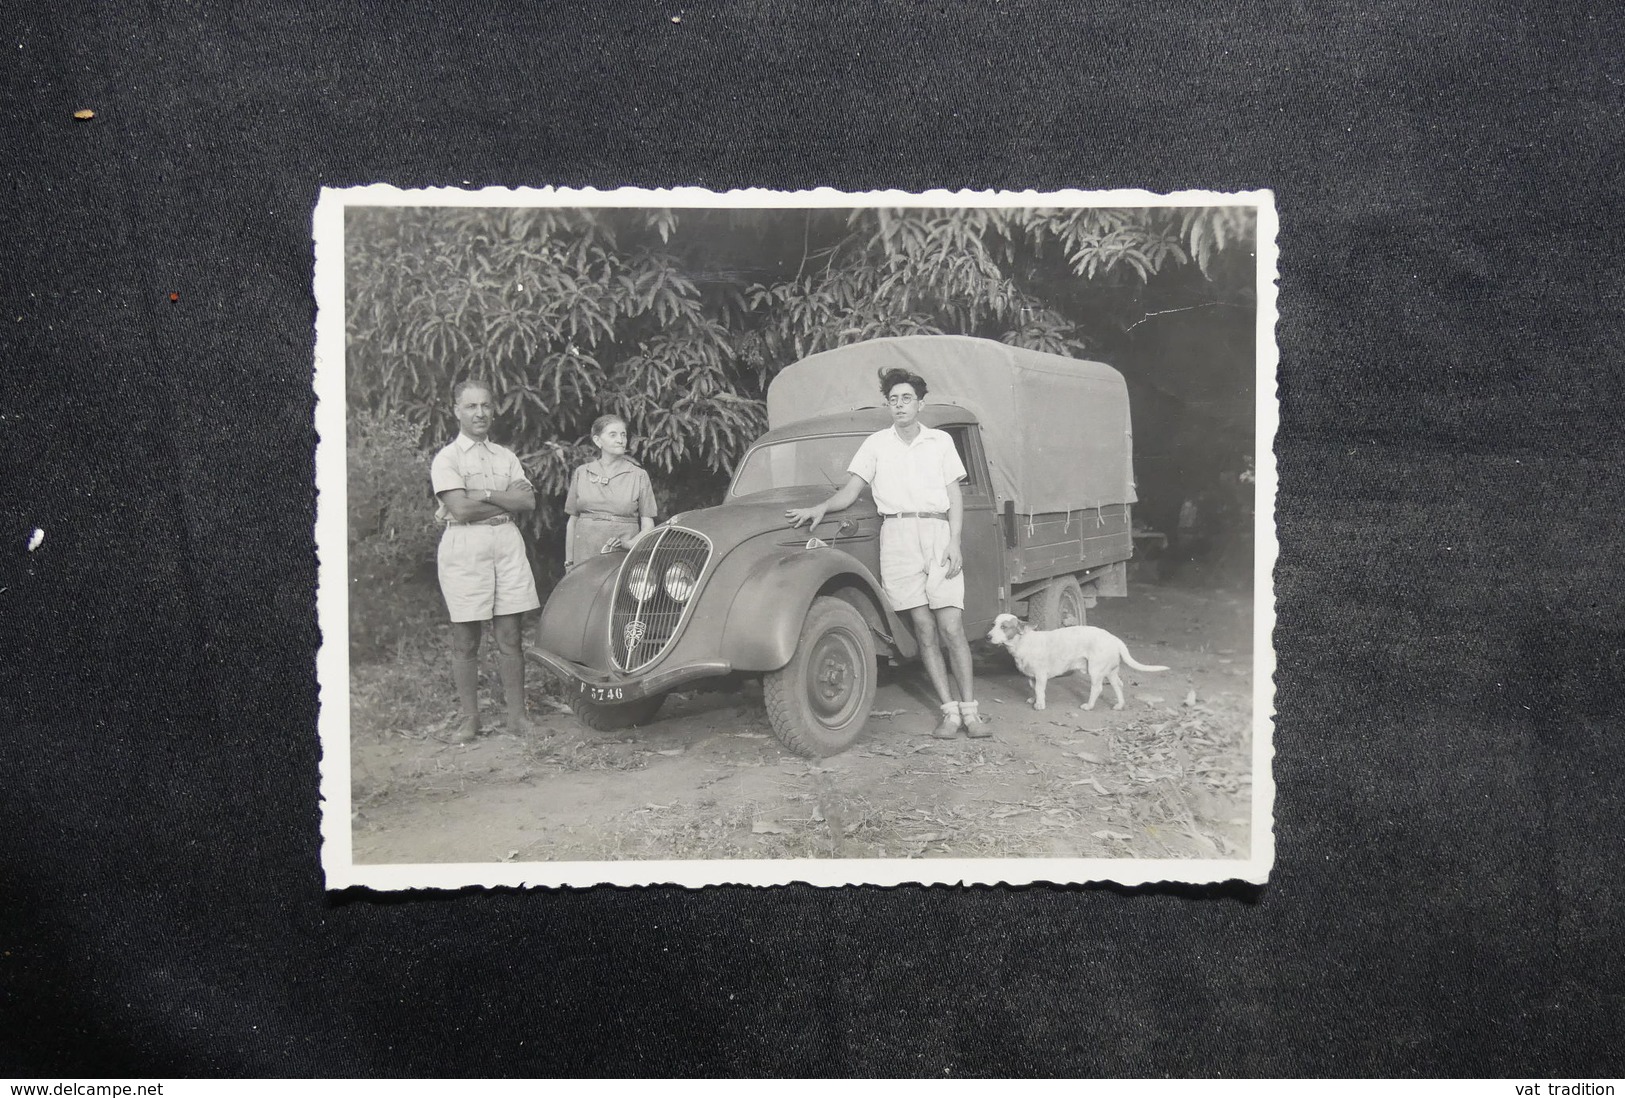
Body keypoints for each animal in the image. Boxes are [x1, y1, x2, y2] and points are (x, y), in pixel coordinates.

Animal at [975, 607, 1170, 711]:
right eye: (993, 625)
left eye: (1004, 627)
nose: (987, 637)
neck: (1023, 641)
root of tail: (1114, 639)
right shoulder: (1031, 676)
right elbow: (1033, 689)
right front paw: (1033, 699)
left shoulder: (1040, 676)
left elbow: (1039, 690)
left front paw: (1040, 704)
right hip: (1110, 672)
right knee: (1118, 686)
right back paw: (1119, 705)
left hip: (1095, 671)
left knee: (1097, 688)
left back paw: (1089, 706)